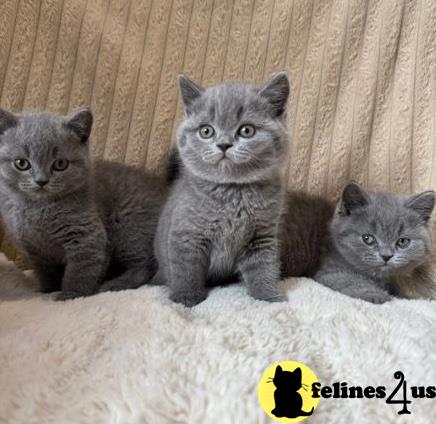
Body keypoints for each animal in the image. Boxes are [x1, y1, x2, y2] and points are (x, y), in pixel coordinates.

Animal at [0, 109, 167, 302]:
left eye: (60, 164)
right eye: (21, 163)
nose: (41, 181)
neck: (38, 208)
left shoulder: (87, 236)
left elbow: (79, 271)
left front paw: (70, 295)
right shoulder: (35, 250)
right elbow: (46, 272)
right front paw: (47, 290)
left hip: (128, 225)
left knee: (146, 266)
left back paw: (114, 284)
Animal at [153, 72, 290, 304]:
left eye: (247, 130)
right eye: (206, 131)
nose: (224, 144)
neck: (233, 191)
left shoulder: (262, 236)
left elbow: (264, 267)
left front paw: (268, 297)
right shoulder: (186, 233)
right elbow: (186, 269)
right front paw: (185, 299)